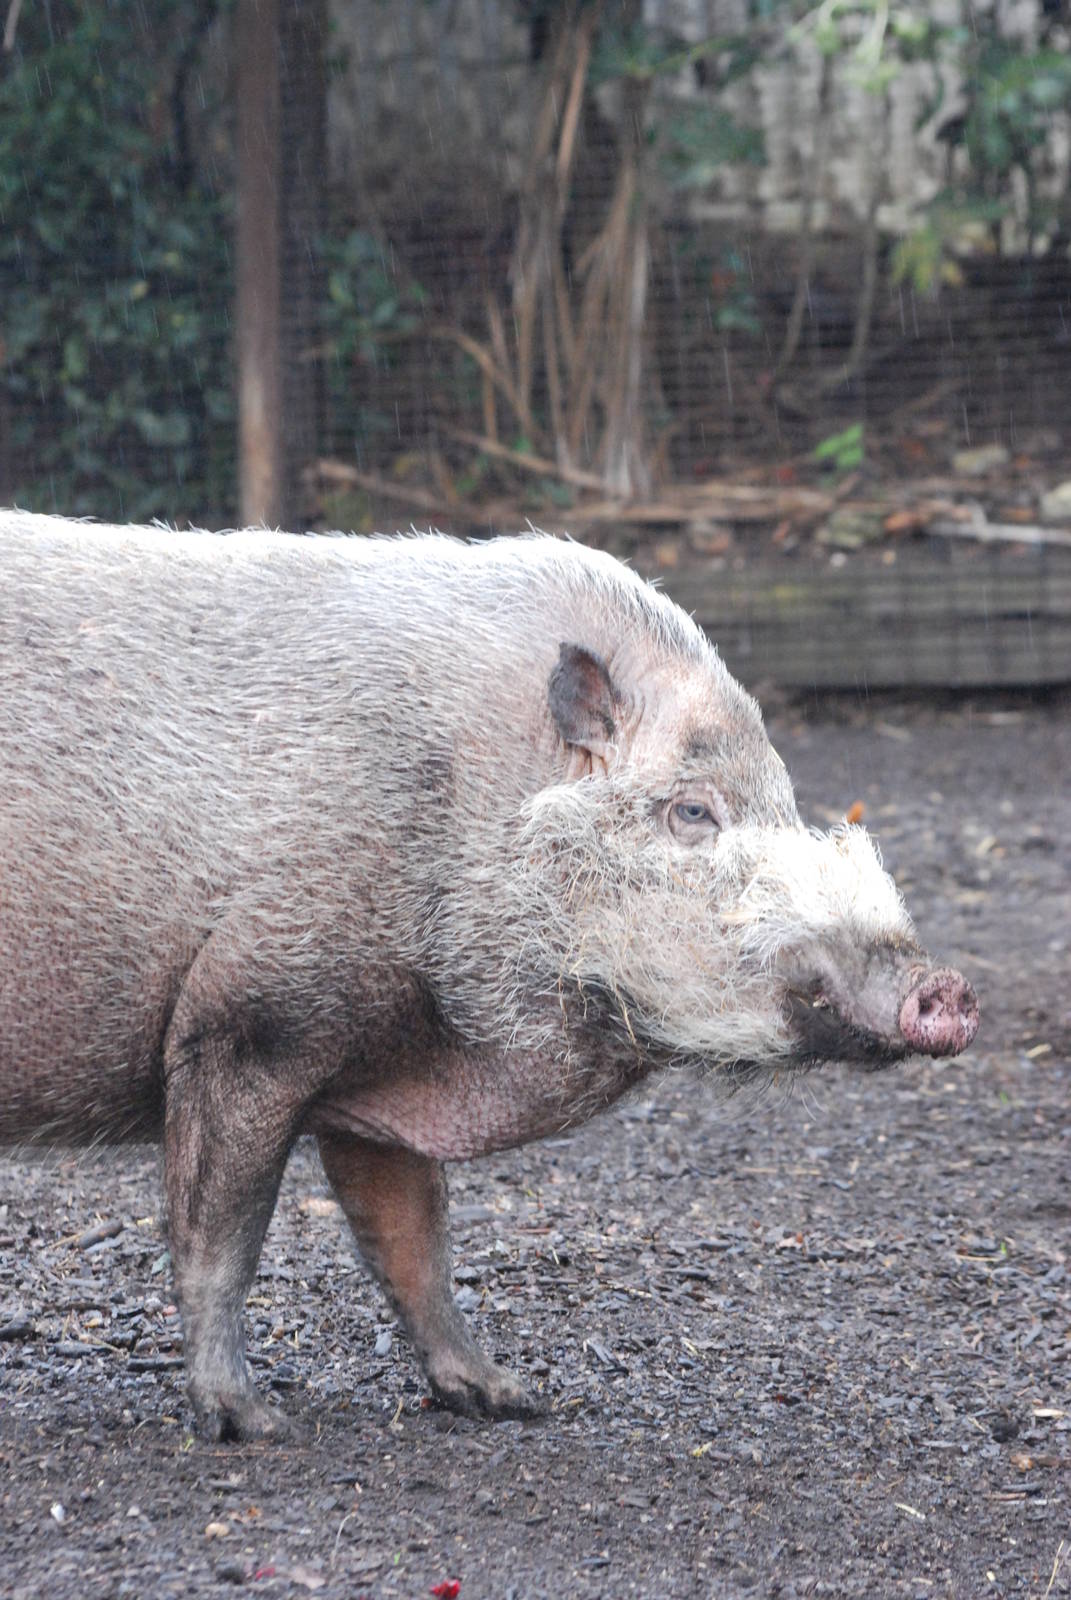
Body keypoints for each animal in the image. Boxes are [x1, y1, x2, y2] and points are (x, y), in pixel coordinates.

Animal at [0, 511, 978, 1441]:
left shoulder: (373, 1078)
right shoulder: (246, 1020)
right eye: (692, 811)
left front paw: (511, 1400)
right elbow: (221, 1238)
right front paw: (256, 1426)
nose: (945, 990)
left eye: (784, 801)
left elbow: (416, 1245)